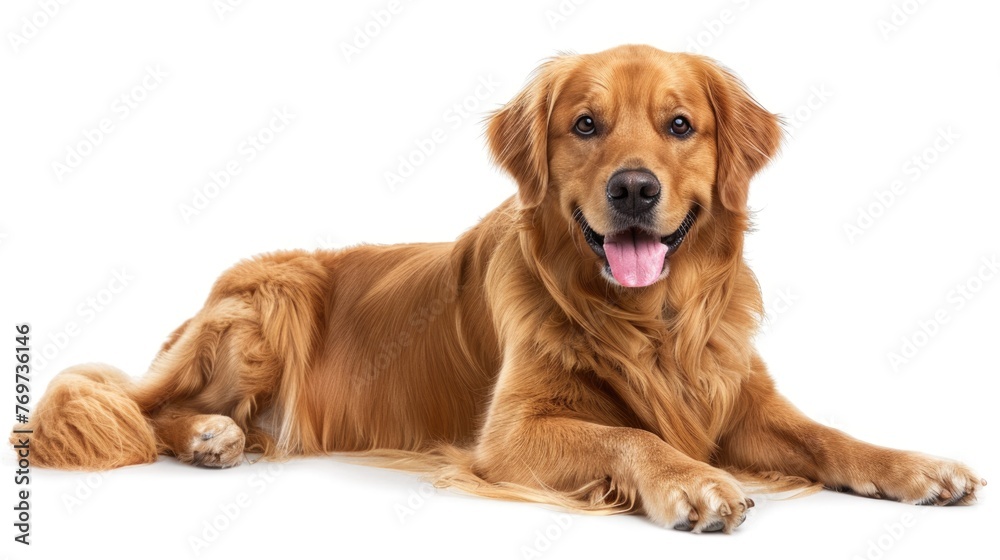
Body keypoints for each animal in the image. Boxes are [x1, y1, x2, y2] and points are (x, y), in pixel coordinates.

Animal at [15, 43, 984, 528]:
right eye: (585, 125)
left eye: (680, 125)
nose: (635, 190)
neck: (648, 320)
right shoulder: (511, 434)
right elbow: (627, 436)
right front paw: (692, 482)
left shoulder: (737, 396)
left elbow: (831, 436)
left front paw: (917, 467)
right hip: (270, 302)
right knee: (135, 408)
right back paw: (209, 434)